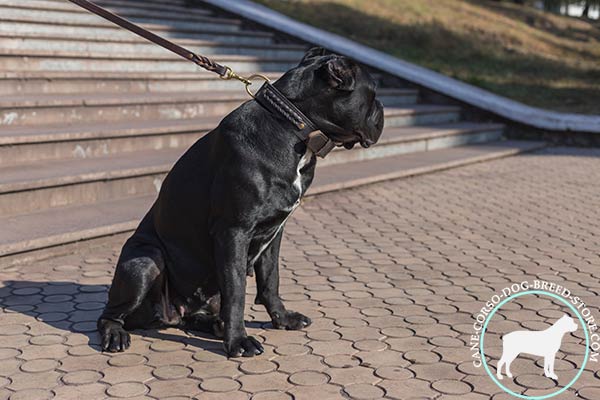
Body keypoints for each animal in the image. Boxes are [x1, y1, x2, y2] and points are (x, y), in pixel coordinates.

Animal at [96, 47, 382, 356]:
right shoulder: (233, 232)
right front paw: (238, 341)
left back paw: (214, 324)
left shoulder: (274, 232)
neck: (292, 125)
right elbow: (236, 292)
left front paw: (283, 319)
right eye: (374, 93)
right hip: (145, 261)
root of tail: (170, 315)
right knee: (110, 313)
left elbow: (270, 280)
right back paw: (116, 334)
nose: (382, 110)